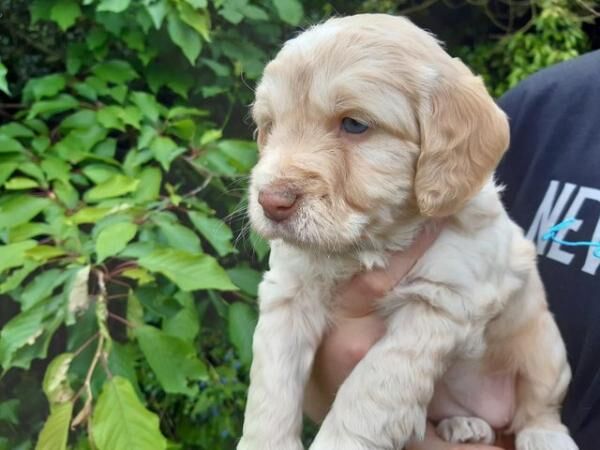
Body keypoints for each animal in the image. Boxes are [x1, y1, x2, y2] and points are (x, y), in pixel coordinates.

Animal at [238, 13, 576, 450]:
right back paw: (466, 425)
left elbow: (368, 391)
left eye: (354, 125)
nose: (271, 202)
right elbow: (271, 388)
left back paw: (544, 436)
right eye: (270, 126)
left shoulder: (439, 302)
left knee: (538, 407)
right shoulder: (288, 294)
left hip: (545, 348)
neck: (367, 246)